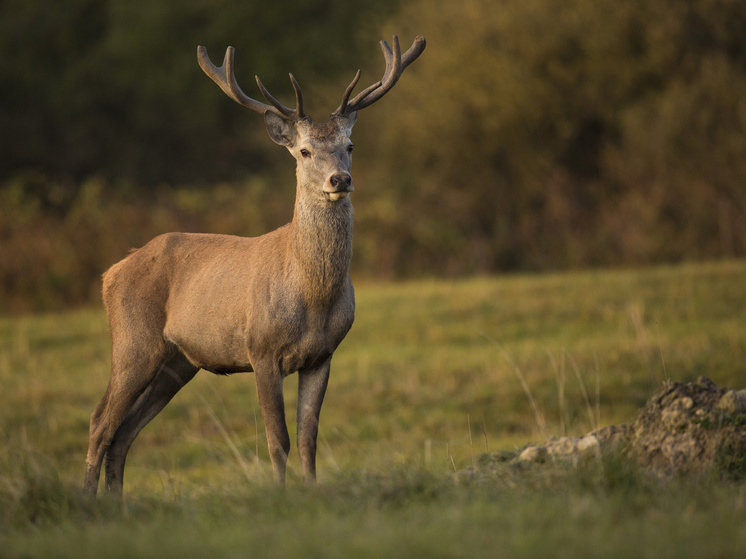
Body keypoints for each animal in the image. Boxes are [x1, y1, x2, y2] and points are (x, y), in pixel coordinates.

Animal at [83, 36, 424, 498]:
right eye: (304, 151)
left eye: (350, 147)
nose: (340, 180)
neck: (312, 296)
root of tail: (110, 273)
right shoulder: (260, 349)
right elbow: (277, 438)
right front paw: (279, 494)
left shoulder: (323, 355)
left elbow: (308, 436)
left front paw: (311, 490)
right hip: (133, 341)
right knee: (101, 421)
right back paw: (87, 500)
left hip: (178, 361)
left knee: (124, 433)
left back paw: (115, 504)